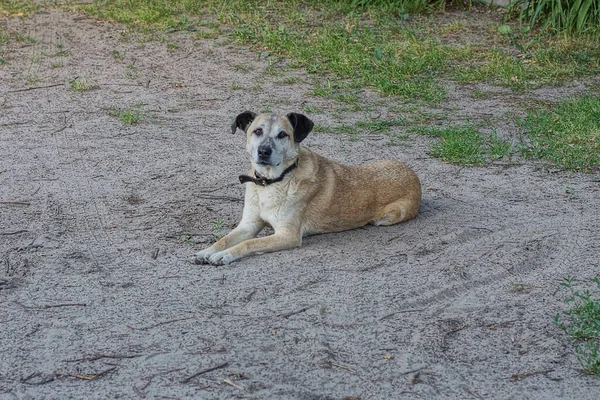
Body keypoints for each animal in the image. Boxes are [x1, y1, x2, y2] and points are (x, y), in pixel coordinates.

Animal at [195, 111, 420, 266]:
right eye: (257, 131)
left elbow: (248, 244)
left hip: (391, 215)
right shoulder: (249, 224)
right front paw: (207, 251)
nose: (264, 151)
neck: (271, 183)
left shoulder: (288, 235)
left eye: (283, 135)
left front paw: (224, 256)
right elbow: (225, 239)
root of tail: (414, 176)